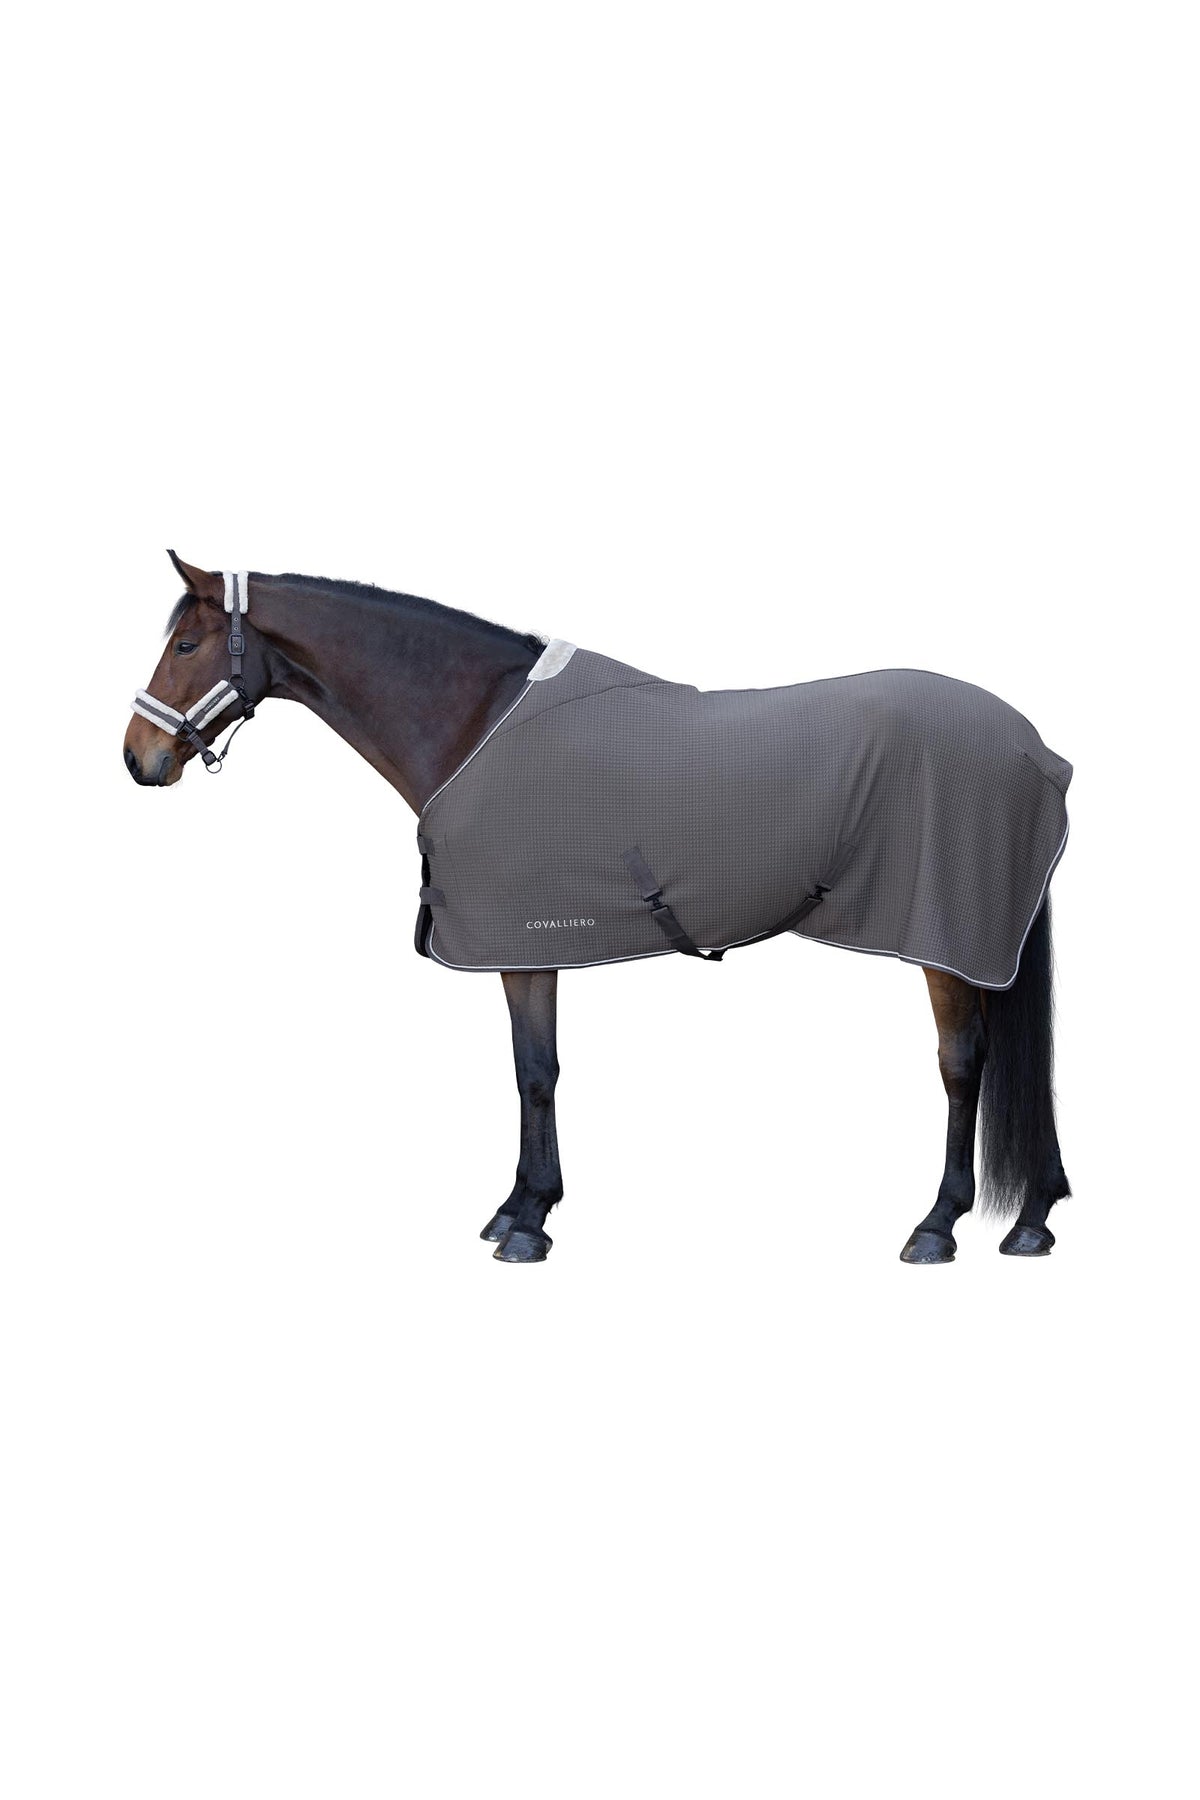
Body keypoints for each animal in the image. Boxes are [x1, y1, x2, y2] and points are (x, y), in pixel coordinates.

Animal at [124, 552, 1072, 1265]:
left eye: (189, 642)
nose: (138, 758)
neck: (478, 722)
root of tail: (1033, 746)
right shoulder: (526, 943)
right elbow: (530, 1068)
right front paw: (517, 1207)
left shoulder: (520, 939)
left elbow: (534, 1073)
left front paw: (528, 1222)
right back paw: (1031, 1220)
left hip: (943, 938)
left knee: (962, 1064)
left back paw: (937, 1226)